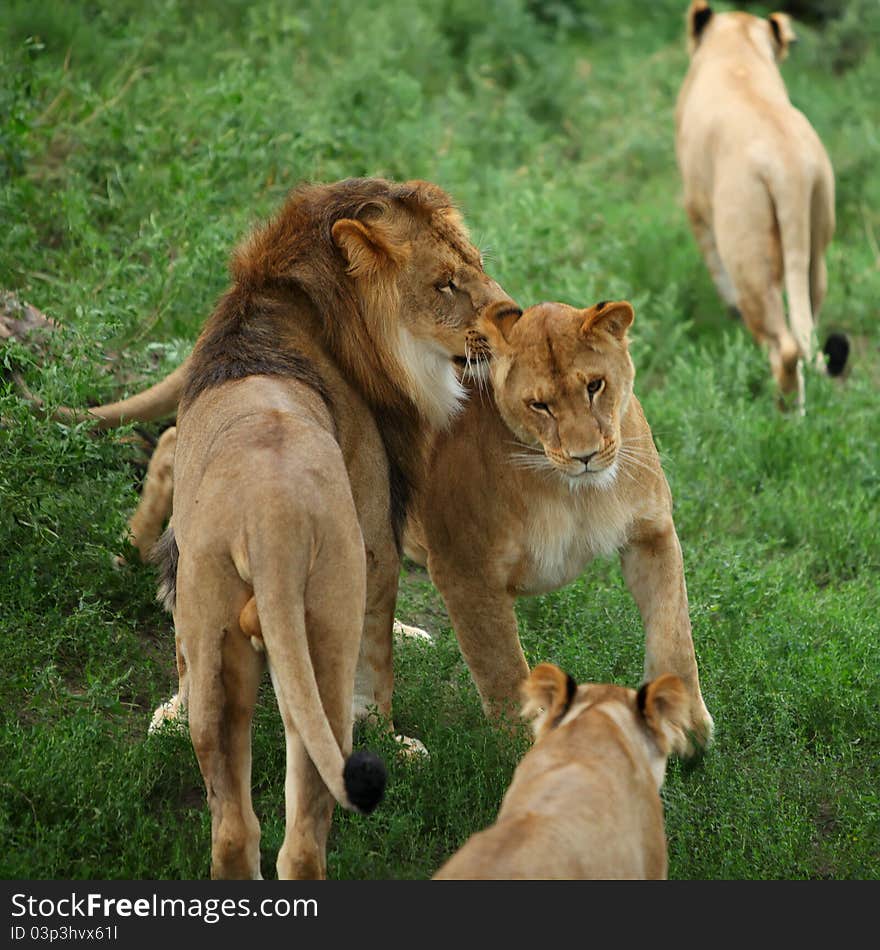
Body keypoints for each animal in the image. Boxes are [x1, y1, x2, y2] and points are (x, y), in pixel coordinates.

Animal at [119, 175, 516, 880]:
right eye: (446, 283)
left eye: (475, 265)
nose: (515, 315)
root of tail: (267, 522)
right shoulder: (375, 530)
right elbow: (377, 657)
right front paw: (394, 737)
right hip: (319, 642)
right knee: (303, 837)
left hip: (217, 632)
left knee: (233, 828)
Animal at [406, 302, 716, 748]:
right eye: (539, 405)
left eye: (595, 386)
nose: (584, 456)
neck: (574, 493)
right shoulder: (464, 570)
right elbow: (502, 670)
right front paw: (523, 753)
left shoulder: (651, 533)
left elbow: (674, 634)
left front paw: (685, 726)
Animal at [672, 0, 844, 410]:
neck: (739, 47)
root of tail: (790, 166)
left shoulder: (694, 204)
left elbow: (712, 261)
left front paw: (729, 308)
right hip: (816, 245)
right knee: (806, 330)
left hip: (746, 251)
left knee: (784, 346)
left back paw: (783, 415)